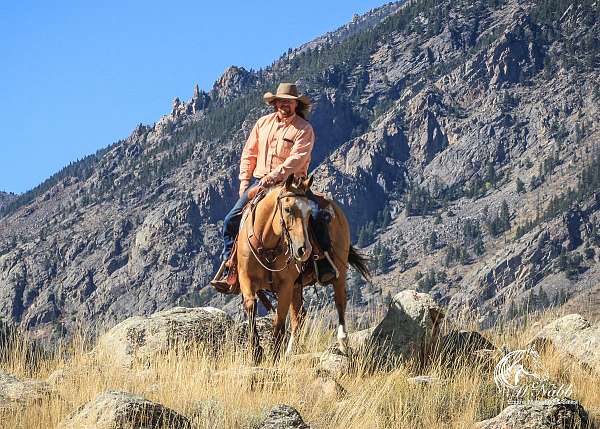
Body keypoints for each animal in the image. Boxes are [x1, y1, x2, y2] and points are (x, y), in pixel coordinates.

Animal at [234, 175, 370, 362]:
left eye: (309, 214)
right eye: (287, 209)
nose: (303, 250)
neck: (268, 245)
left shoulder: (286, 286)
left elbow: (279, 320)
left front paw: (274, 354)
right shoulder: (246, 278)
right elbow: (251, 306)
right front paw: (256, 352)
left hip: (339, 271)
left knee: (340, 301)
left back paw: (343, 342)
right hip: (297, 286)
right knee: (299, 317)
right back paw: (291, 351)